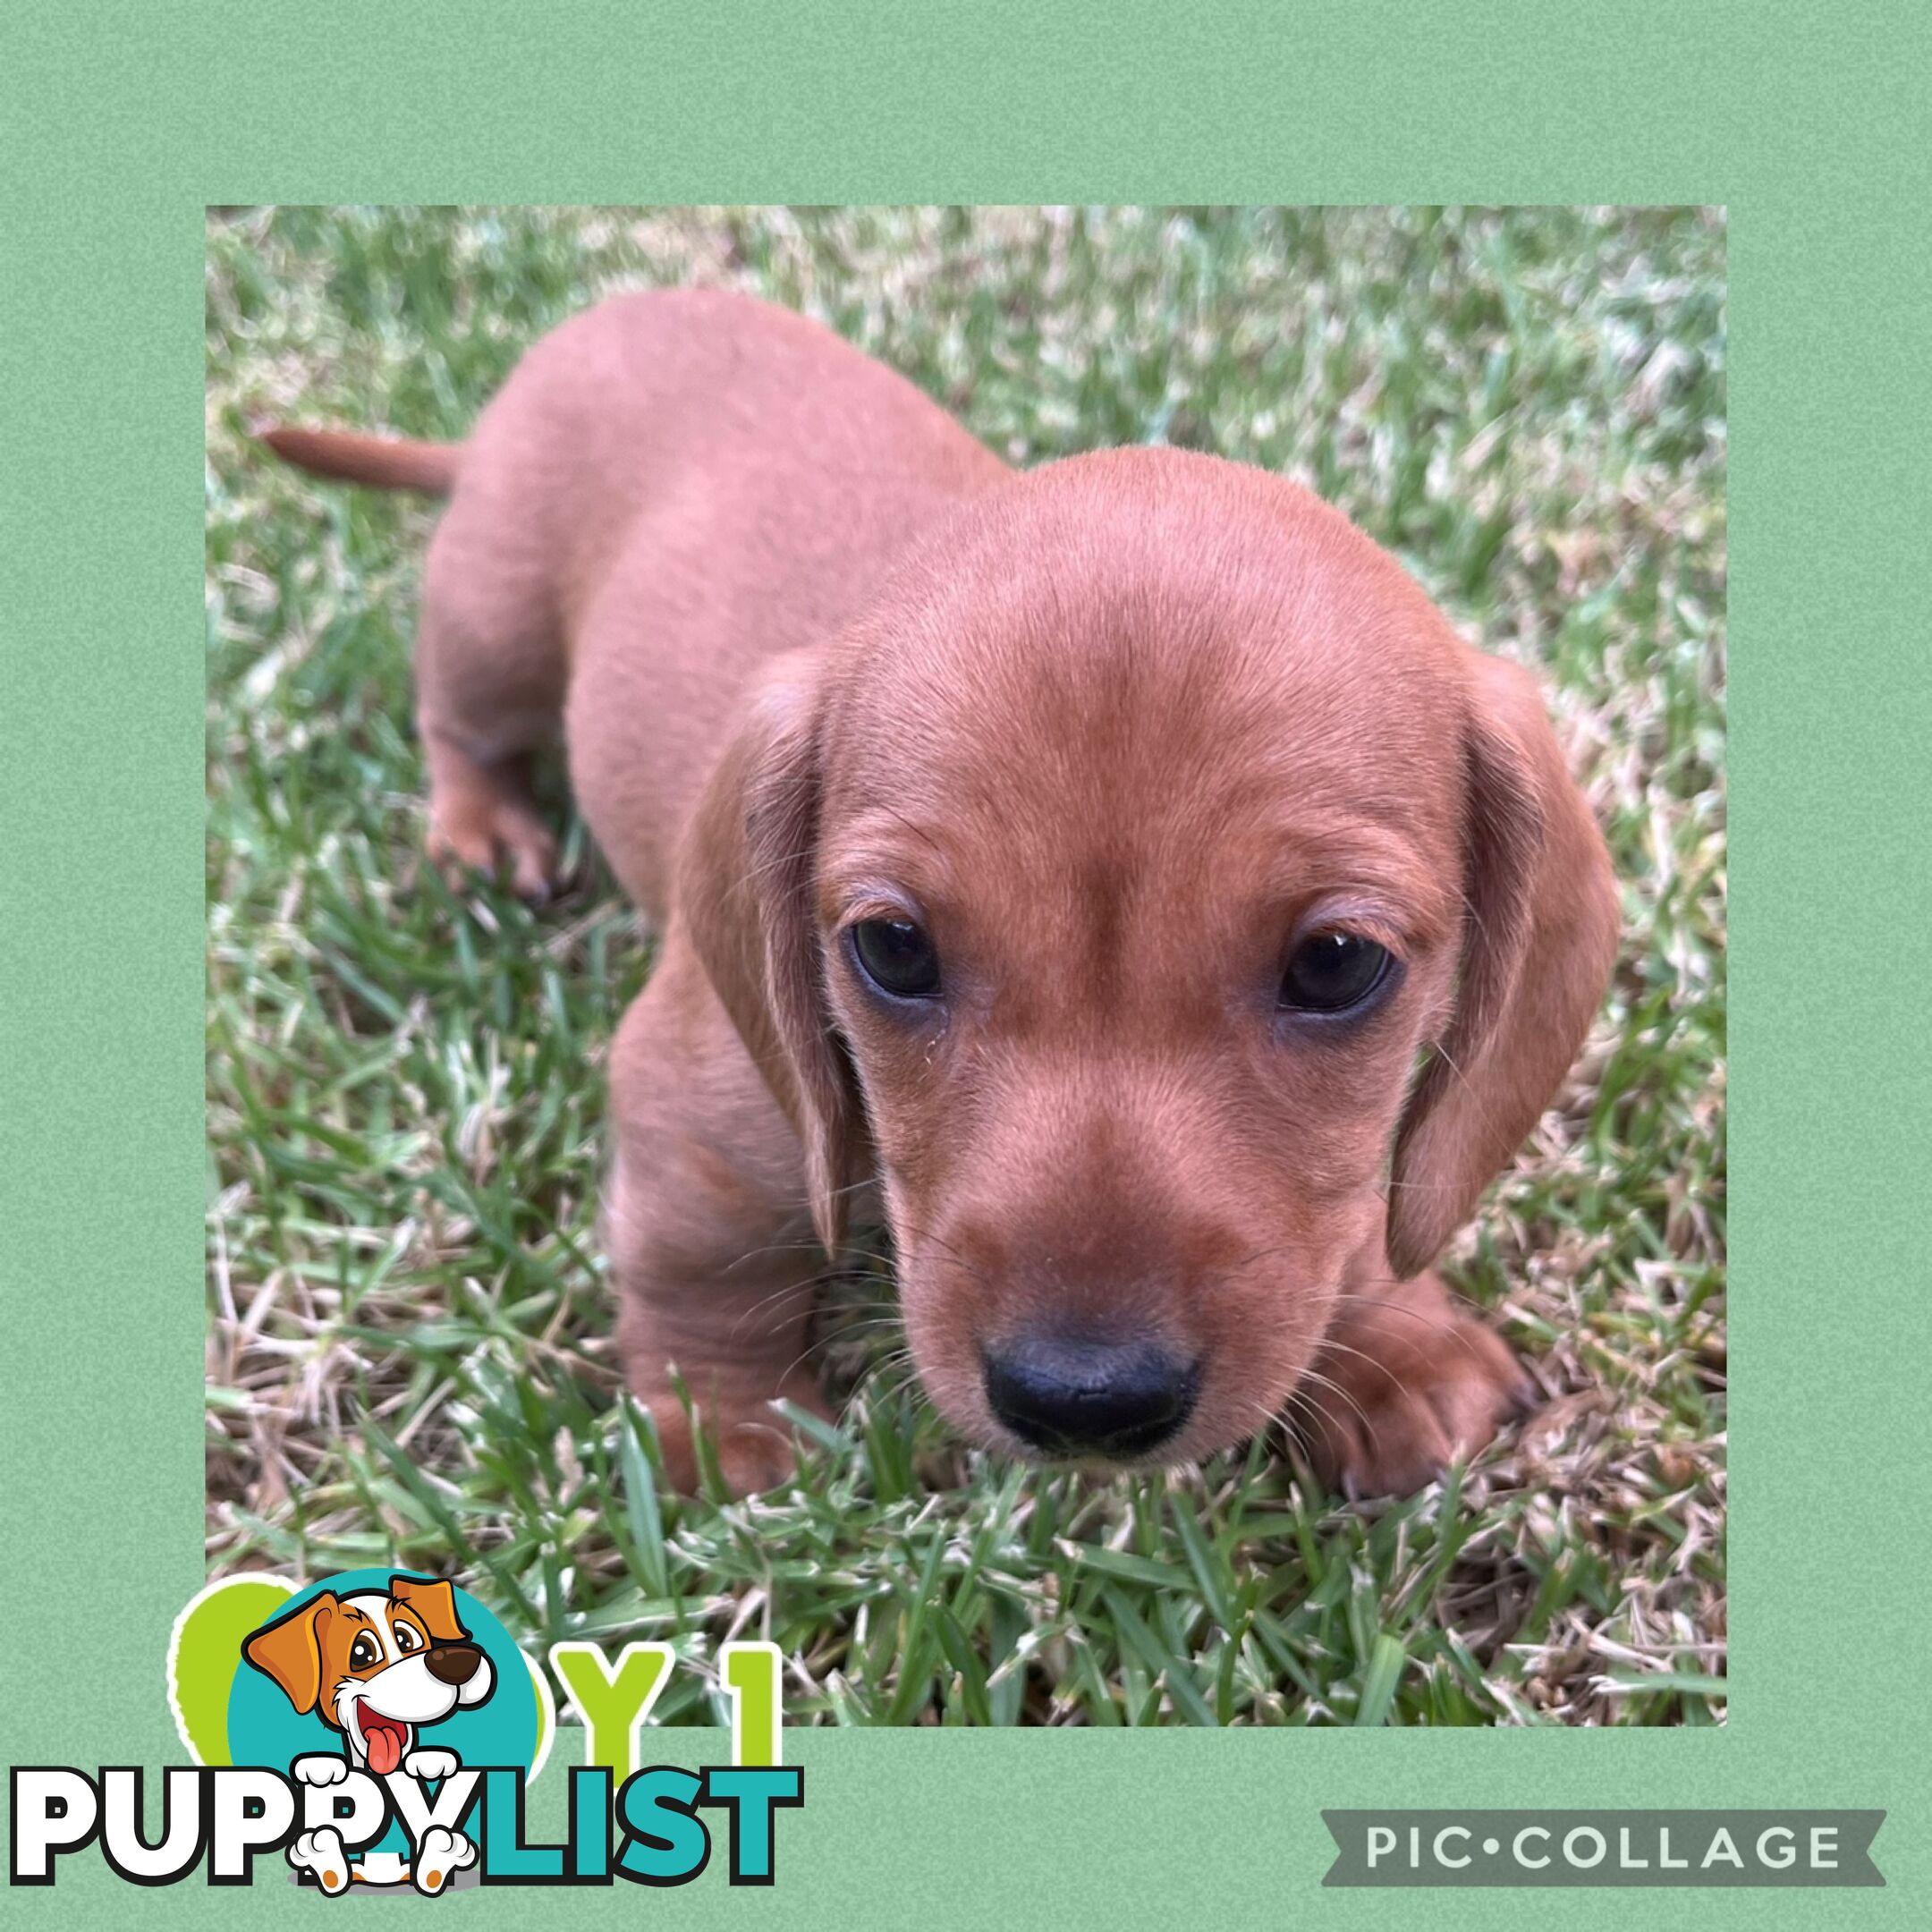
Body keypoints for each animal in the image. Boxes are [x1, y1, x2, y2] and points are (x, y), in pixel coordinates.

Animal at [257, 282, 1614, 1491]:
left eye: (1337, 966)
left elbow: (1355, 1214)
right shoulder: (698, 1100)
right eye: (894, 950)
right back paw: (482, 832)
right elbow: (699, 1262)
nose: (1084, 1399)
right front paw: (722, 1421)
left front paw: (1396, 1346)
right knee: (459, 723)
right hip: (493, 617)